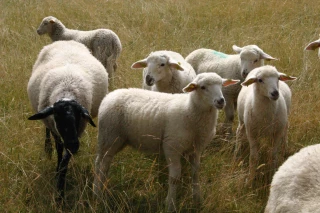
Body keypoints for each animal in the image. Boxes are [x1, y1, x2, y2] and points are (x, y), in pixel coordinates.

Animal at [26, 40, 109, 201]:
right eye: (58, 118)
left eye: (78, 117)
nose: (73, 145)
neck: (67, 90)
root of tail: (66, 41)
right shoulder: (54, 126)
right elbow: (59, 149)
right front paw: (58, 173)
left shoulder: (79, 130)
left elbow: (66, 159)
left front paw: (60, 189)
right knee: (47, 131)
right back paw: (47, 148)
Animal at [92, 73, 240, 211]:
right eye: (203, 87)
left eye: (221, 85)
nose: (220, 101)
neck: (190, 110)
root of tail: (109, 96)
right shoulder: (171, 146)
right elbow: (174, 178)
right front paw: (170, 204)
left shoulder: (196, 148)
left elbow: (195, 172)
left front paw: (197, 198)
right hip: (109, 137)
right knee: (101, 164)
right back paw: (98, 193)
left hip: (117, 140)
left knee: (103, 164)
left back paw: (101, 188)